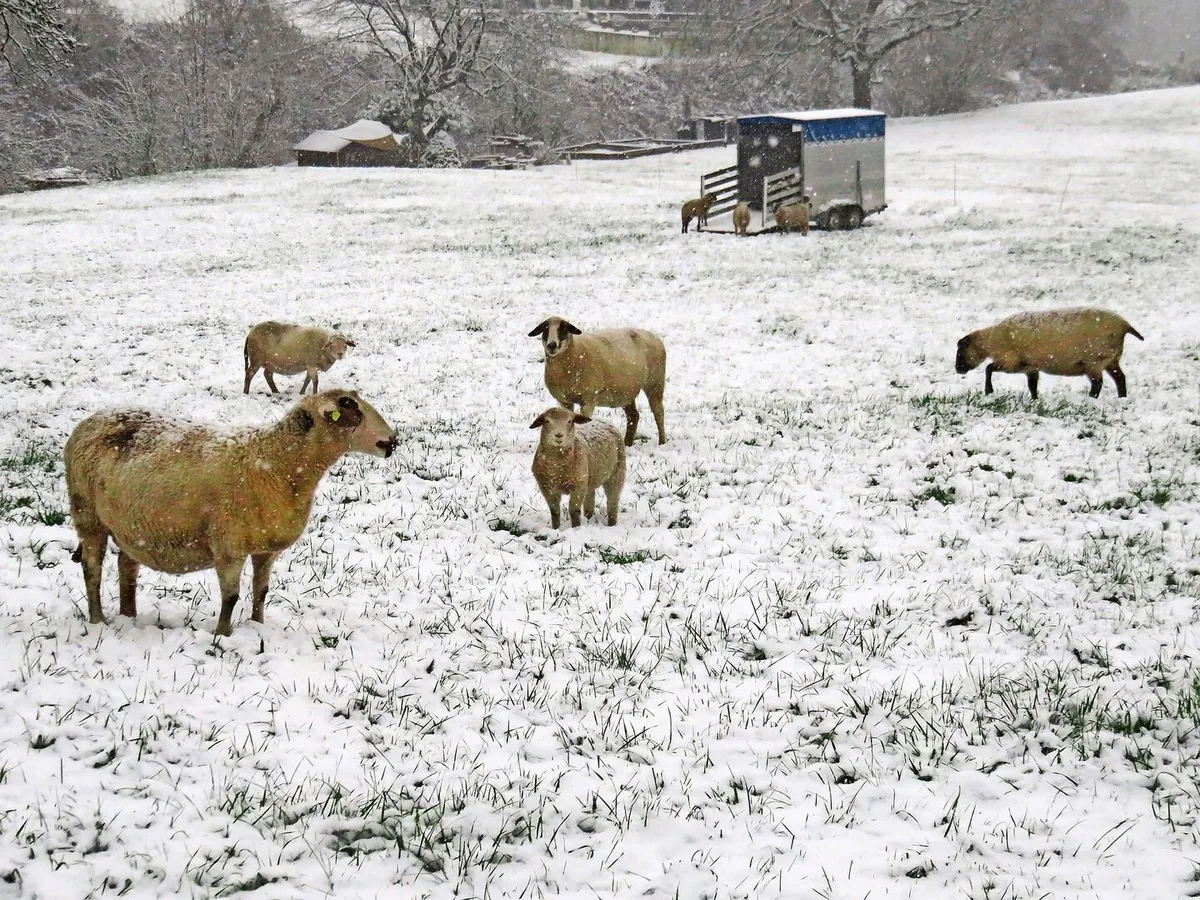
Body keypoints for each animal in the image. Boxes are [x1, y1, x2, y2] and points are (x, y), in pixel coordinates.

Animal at [64, 389, 397, 636]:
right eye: (348, 405)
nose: (391, 442)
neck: (276, 463)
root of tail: (89, 420)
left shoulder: (265, 549)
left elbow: (261, 591)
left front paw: (257, 626)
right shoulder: (228, 544)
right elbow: (231, 596)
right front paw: (222, 635)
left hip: (130, 522)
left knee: (126, 567)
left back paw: (129, 617)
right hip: (87, 514)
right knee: (92, 569)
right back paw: (99, 621)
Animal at [528, 316, 667, 446]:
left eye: (563, 329)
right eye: (545, 329)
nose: (552, 345)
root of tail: (655, 337)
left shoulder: (588, 400)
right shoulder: (564, 401)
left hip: (655, 384)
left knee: (659, 413)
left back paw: (662, 442)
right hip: (625, 392)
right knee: (634, 415)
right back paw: (627, 443)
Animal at [955, 307, 1144, 399]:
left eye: (960, 352)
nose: (958, 369)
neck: (993, 340)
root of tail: (1124, 325)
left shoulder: (1011, 362)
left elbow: (988, 368)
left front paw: (989, 391)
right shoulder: (1030, 367)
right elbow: (1032, 385)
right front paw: (1035, 400)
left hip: (1094, 362)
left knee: (1097, 384)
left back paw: (1091, 399)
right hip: (1111, 360)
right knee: (1120, 378)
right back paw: (1122, 397)